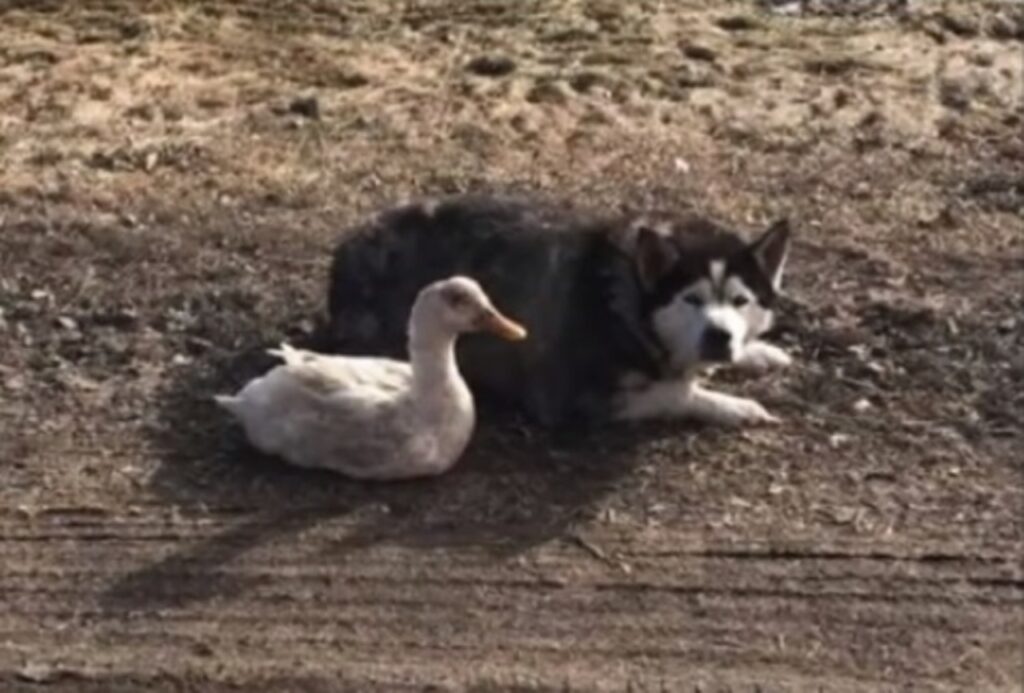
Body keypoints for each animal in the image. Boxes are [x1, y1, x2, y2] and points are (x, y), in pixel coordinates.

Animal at [325, 193, 790, 427]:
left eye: (740, 301)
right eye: (691, 299)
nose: (719, 336)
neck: (617, 293)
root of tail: (346, 247)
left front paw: (757, 353)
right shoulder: (568, 399)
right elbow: (676, 392)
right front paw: (734, 406)